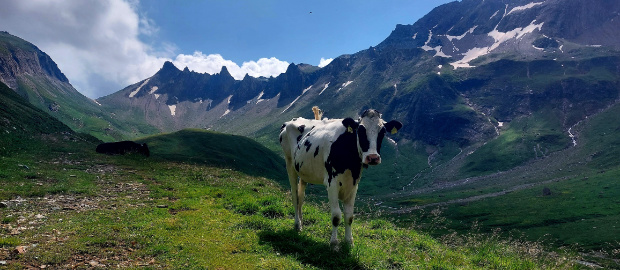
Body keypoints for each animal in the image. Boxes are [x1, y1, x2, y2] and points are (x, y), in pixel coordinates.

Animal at [280, 108, 402, 248]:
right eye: (360, 130)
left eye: (382, 132)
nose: (372, 158)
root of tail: (290, 121)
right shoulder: (332, 183)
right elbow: (336, 216)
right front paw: (334, 243)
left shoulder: (354, 184)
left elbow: (349, 216)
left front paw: (349, 242)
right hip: (289, 163)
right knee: (295, 196)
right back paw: (297, 225)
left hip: (303, 171)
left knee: (301, 197)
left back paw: (301, 222)